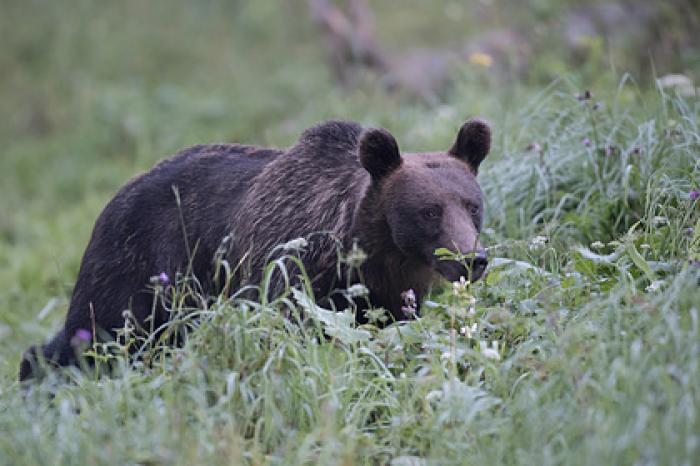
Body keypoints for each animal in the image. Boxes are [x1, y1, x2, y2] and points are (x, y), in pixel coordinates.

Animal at [20, 118, 492, 380]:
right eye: (429, 211)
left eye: (472, 205)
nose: (472, 259)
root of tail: (119, 190)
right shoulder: (288, 266)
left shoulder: (387, 298)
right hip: (141, 267)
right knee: (97, 333)